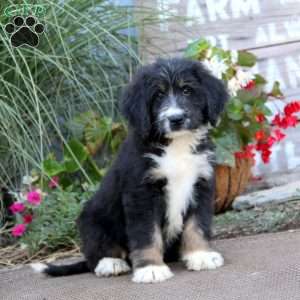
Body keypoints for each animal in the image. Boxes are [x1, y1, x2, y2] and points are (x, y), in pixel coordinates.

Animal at [32, 58, 227, 284]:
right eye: (158, 95)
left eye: (187, 90)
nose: (175, 118)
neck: (176, 146)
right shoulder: (141, 194)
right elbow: (146, 234)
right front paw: (151, 268)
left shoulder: (201, 184)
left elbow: (197, 225)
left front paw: (200, 255)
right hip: (92, 218)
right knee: (95, 254)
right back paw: (111, 263)